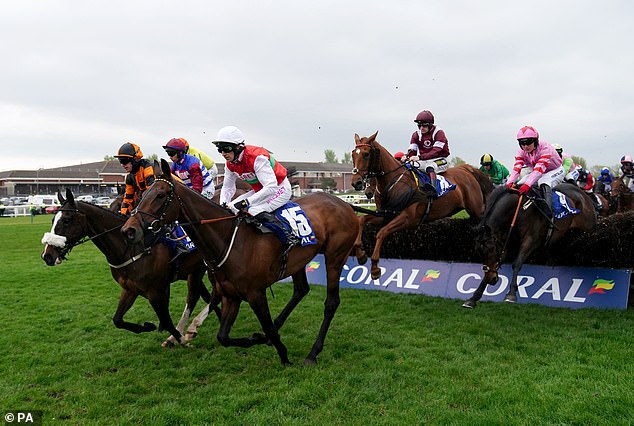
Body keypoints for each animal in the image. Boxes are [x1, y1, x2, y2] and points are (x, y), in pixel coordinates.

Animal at [41, 189, 220, 346]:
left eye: (66, 220)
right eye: (52, 220)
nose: (47, 255)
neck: (133, 248)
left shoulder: (156, 290)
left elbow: (166, 319)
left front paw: (180, 340)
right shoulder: (130, 289)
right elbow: (117, 320)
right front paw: (148, 326)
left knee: (199, 296)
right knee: (205, 296)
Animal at [120, 158, 358, 364]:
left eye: (160, 195)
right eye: (143, 194)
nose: (129, 230)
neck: (228, 240)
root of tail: (345, 204)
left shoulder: (255, 293)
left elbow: (264, 325)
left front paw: (284, 356)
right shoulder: (231, 295)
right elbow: (223, 337)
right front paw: (257, 339)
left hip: (335, 257)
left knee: (331, 303)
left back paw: (312, 353)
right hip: (299, 261)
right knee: (300, 290)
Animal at [350, 131, 494, 282]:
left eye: (366, 154)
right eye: (353, 153)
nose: (356, 183)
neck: (393, 182)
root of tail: (467, 169)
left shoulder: (407, 218)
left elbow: (381, 233)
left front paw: (375, 268)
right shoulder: (385, 214)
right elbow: (361, 220)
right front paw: (360, 254)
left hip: (478, 210)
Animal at [462, 182, 596, 306]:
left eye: (490, 249)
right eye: (478, 252)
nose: (492, 279)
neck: (518, 210)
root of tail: (584, 195)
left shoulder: (530, 240)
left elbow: (516, 263)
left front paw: (511, 294)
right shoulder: (506, 242)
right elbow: (497, 262)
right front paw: (473, 298)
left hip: (588, 227)